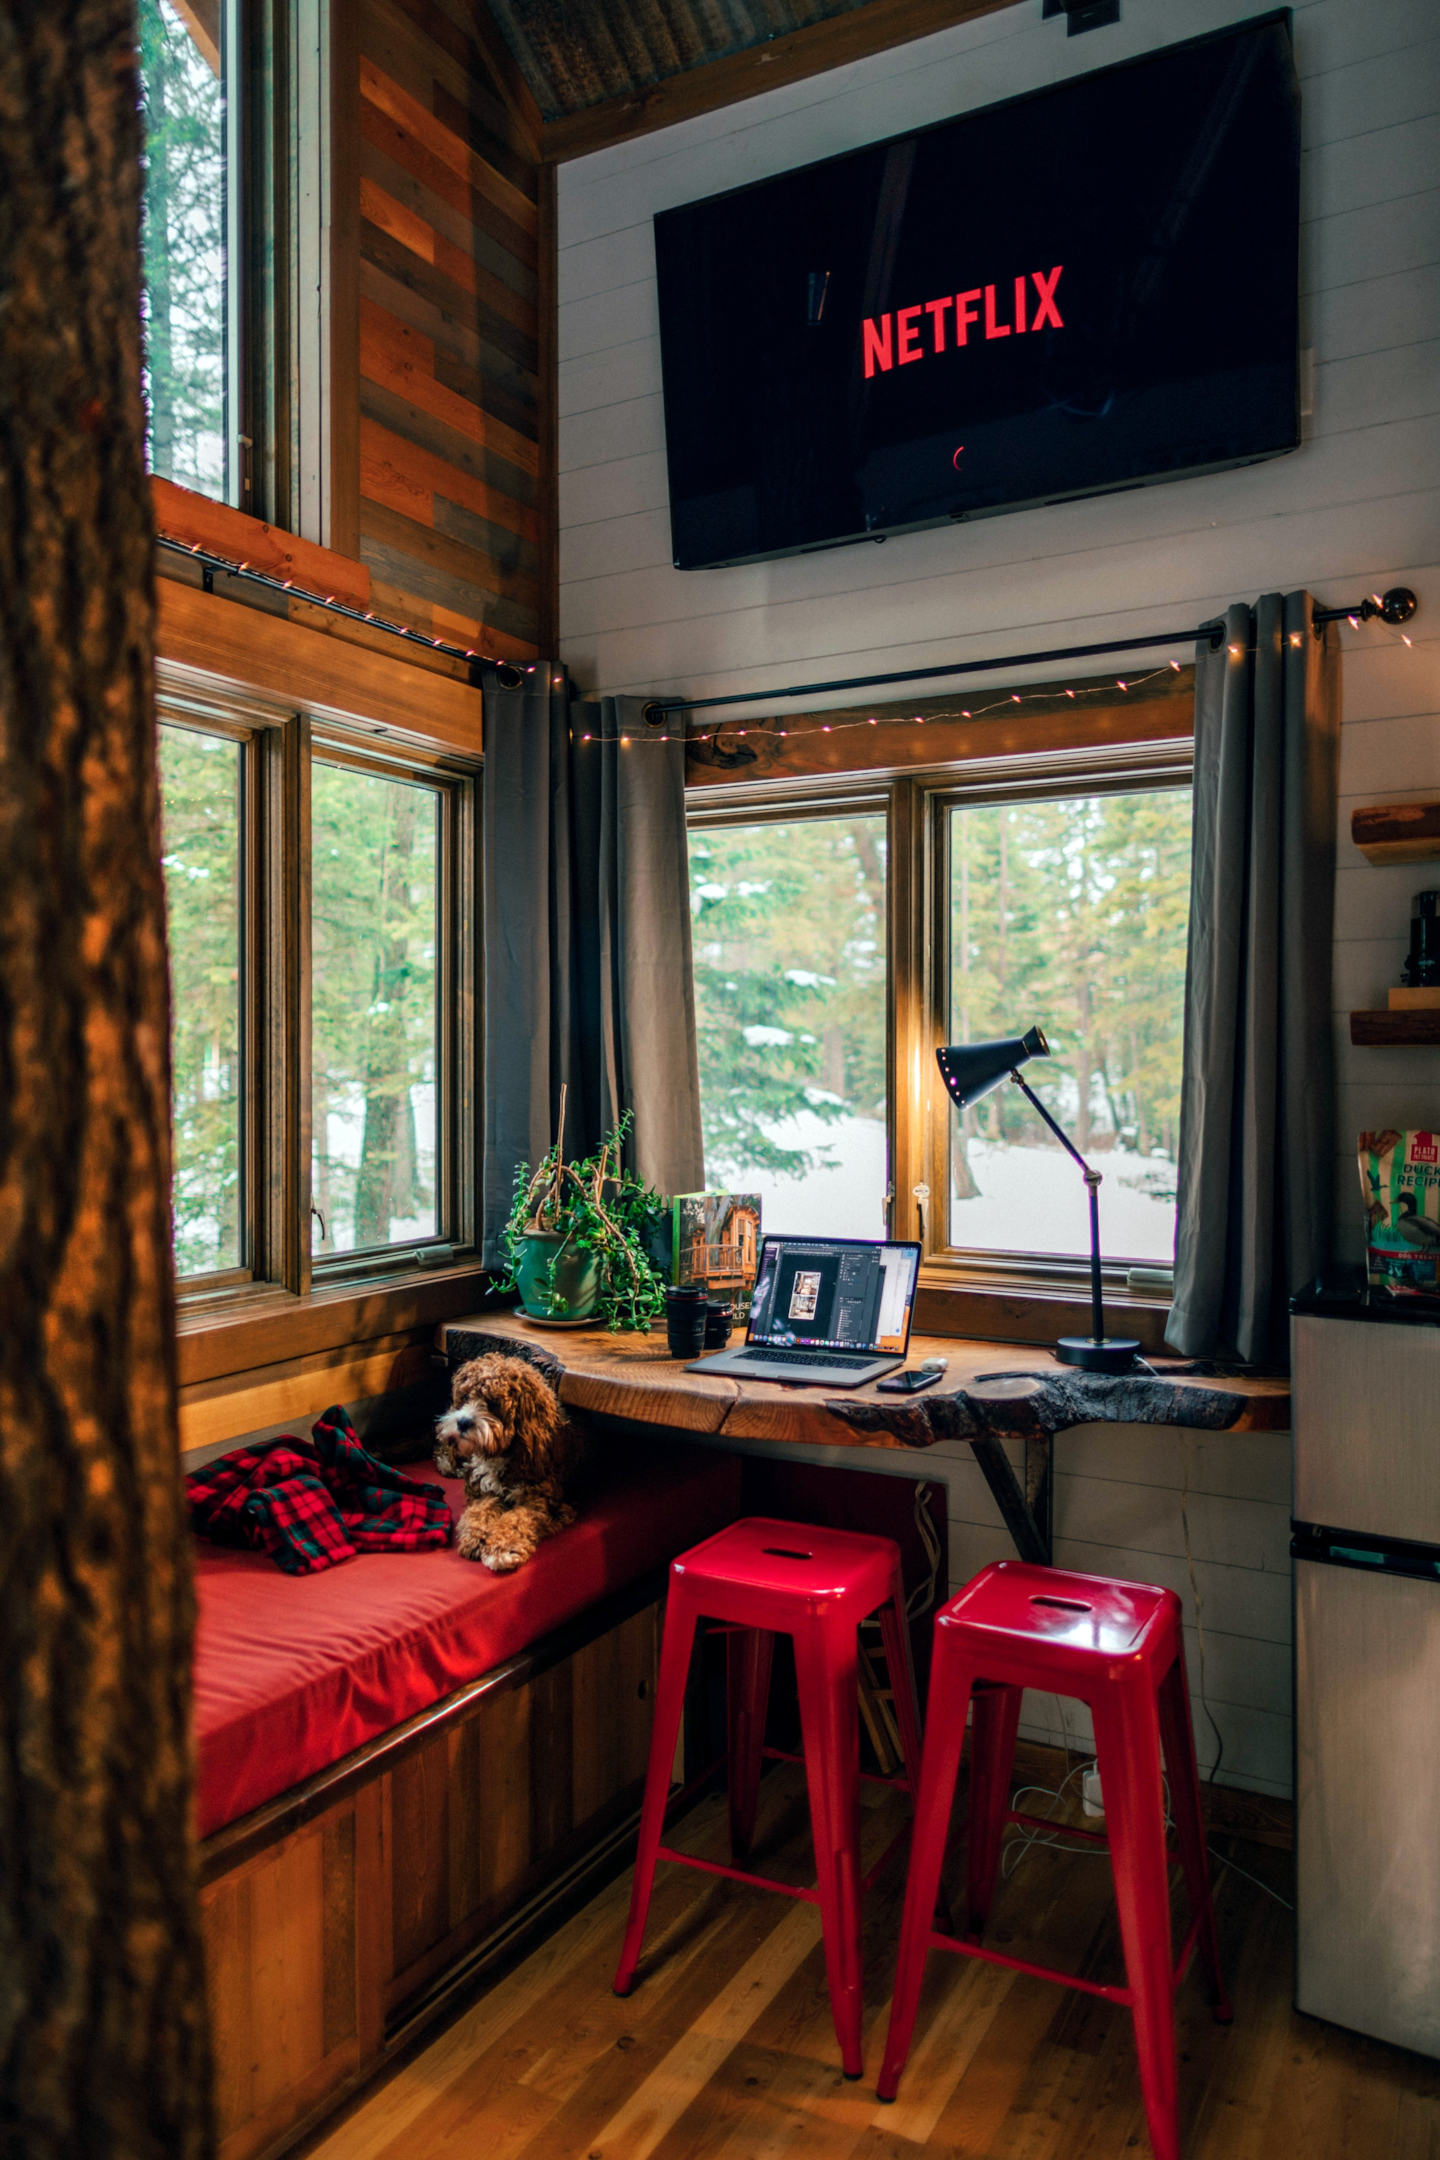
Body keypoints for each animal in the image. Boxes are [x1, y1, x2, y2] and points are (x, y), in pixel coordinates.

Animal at [433, 1347, 587, 1572]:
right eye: (465, 1397)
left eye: (494, 1403)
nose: (462, 1422)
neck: (499, 1455)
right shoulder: (483, 1493)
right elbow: (477, 1511)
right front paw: (475, 1536)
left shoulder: (542, 1502)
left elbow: (516, 1519)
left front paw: (501, 1548)